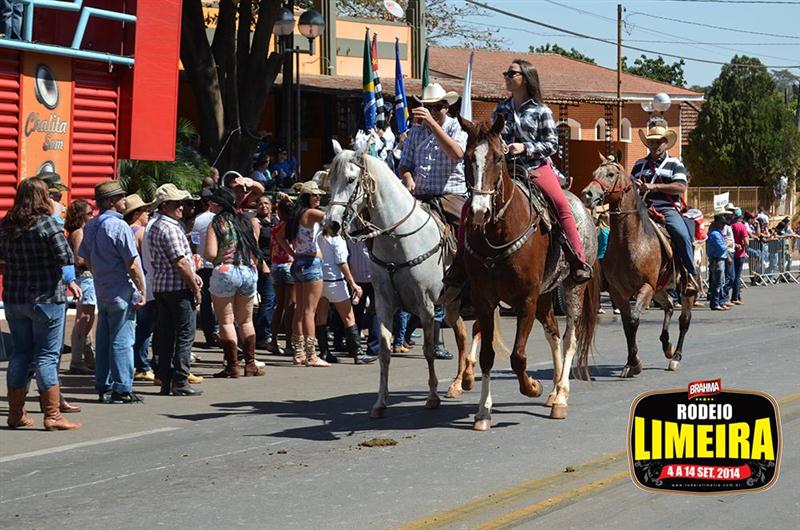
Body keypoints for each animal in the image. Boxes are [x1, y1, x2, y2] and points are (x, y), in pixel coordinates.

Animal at [323, 142, 505, 419]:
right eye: (331, 180)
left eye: (351, 179)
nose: (331, 224)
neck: (398, 240)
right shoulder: (384, 303)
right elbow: (385, 351)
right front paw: (380, 402)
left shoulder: (425, 304)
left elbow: (429, 350)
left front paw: (431, 397)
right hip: (453, 304)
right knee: (463, 335)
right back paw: (459, 381)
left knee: (477, 330)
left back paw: (467, 376)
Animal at [458, 115, 599, 430]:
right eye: (467, 158)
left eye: (499, 158)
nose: (479, 212)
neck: (498, 233)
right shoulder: (485, 300)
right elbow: (487, 355)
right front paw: (483, 411)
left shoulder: (526, 299)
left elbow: (518, 356)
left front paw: (532, 386)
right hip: (547, 294)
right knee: (553, 333)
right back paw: (554, 391)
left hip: (572, 288)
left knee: (570, 338)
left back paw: (561, 397)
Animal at [581, 155, 695, 376]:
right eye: (594, 173)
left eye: (611, 174)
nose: (587, 194)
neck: (630, 241)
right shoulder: (618, 291)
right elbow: (627, 325)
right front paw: (630, 363)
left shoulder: (646, 287)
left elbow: (634, 320)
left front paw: (635, 362)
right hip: (659, 289)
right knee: (669, 305)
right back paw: (667, 346)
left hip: (684, 289)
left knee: (685, 320)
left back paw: (675, 357)